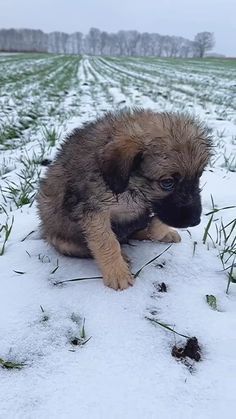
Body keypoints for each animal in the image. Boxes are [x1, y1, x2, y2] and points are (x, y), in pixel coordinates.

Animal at [37, 110, 212, 290]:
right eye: (167, 182)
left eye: (198, 177)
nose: (195, 221)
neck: (131, 186)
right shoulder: (93, 209)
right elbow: (107, 241)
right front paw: (117, 272)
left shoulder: (154, 206)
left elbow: (158, 220)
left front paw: (157, 230)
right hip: (60, 238)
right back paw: (123, 256)